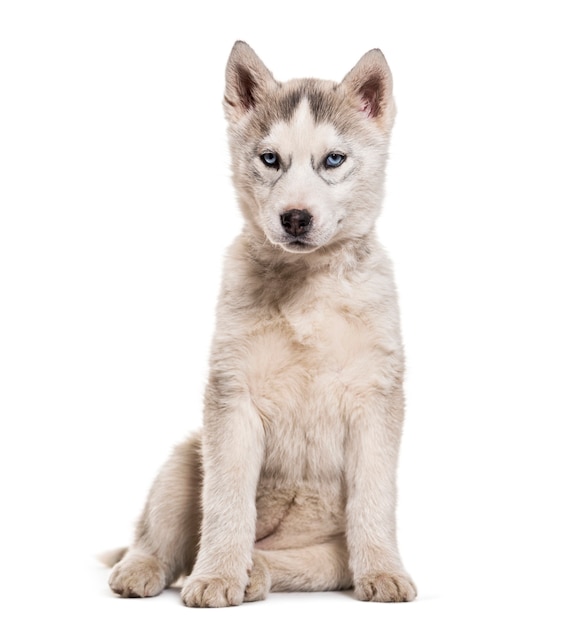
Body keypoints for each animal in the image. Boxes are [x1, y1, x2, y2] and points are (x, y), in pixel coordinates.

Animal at [107, 39, 418, 604]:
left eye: (333, 160)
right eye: (270, 159)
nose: (295, 217)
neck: (306, 283)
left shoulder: (377, 399)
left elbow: (375, 498)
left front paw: (384, 571)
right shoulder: (231, 395)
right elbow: (227, 498)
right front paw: (214, 576)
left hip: (325, 560)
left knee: (292, 561)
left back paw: (255, 572)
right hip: (184, 460)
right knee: (158, 536)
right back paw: (148, 568)